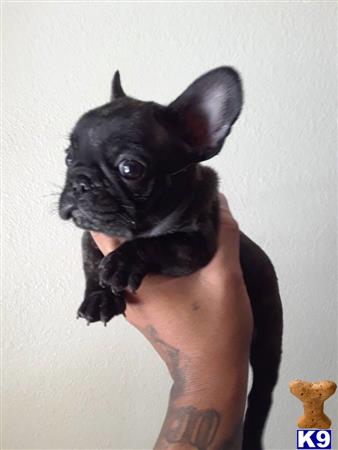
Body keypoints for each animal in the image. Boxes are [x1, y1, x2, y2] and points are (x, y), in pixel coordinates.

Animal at [58, 67, 282, 450]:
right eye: (68, 158)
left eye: (130, 168)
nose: (79, 182)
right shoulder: (91, 235)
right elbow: (91, 262)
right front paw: (99, 297)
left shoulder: (193, 245)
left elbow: (155, 244)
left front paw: (123, 262)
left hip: (269, 339)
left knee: (262, 393)